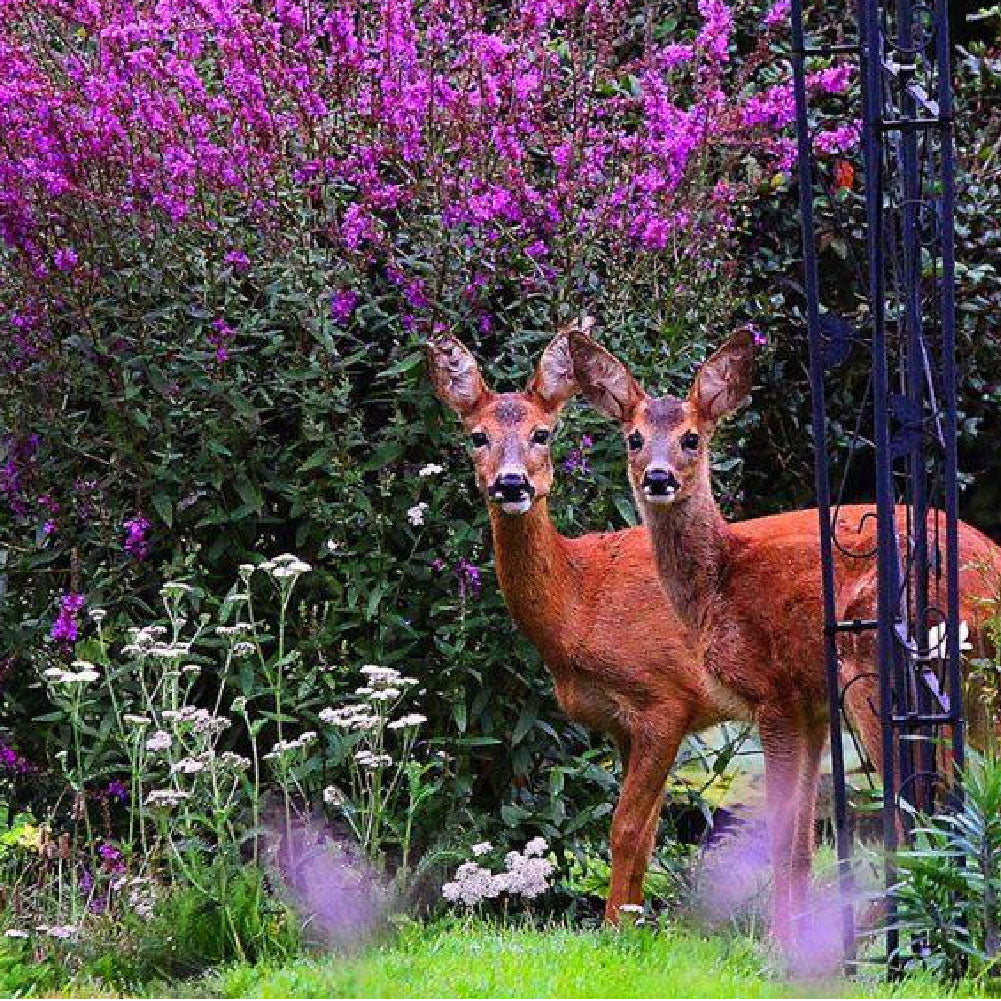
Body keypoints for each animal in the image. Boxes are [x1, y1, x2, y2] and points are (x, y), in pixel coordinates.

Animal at [569, 325, 1000, 945]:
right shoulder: (812, 704)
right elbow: (799, 839)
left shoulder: (772, 692)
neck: (718, 583)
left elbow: (781, 831)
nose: (658, 477)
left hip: (882, 669)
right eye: (633, 438)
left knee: (916, 809)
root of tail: (991, 572)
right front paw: (793, 931)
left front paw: (780, 939)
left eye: (692, 438)